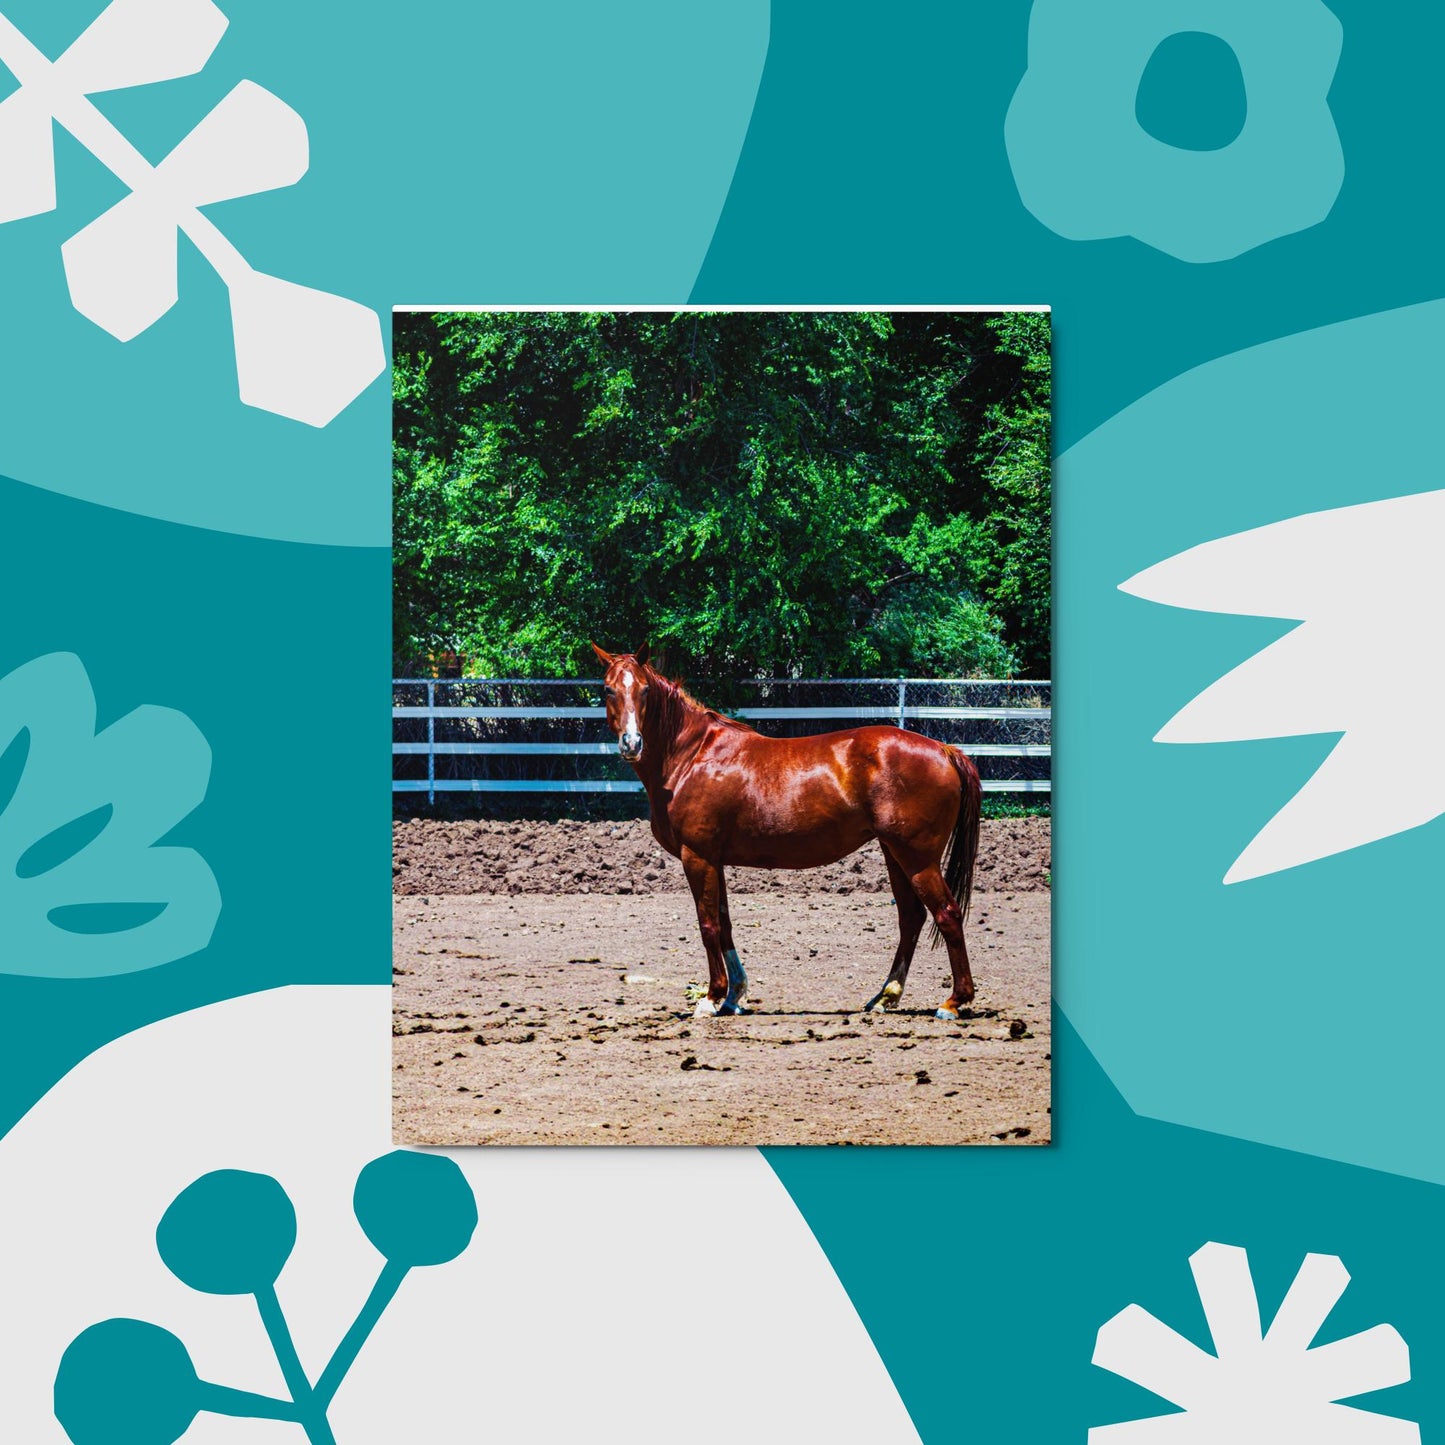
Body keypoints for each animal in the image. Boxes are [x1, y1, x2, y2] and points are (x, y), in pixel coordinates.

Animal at [591, 644, 983, 1020]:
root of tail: (945, 750)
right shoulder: (715, 860)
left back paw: (953, 1002)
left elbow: (709, 926)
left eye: (644, 690)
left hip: (917, 858)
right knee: (911, 918)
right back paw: (885, 997)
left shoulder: (698, 857)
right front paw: (734, 996)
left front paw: (712, 998)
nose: (631, 743)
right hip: (895, 854)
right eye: (609, 689)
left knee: (947, 914)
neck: (692, 757)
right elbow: (725, 923)